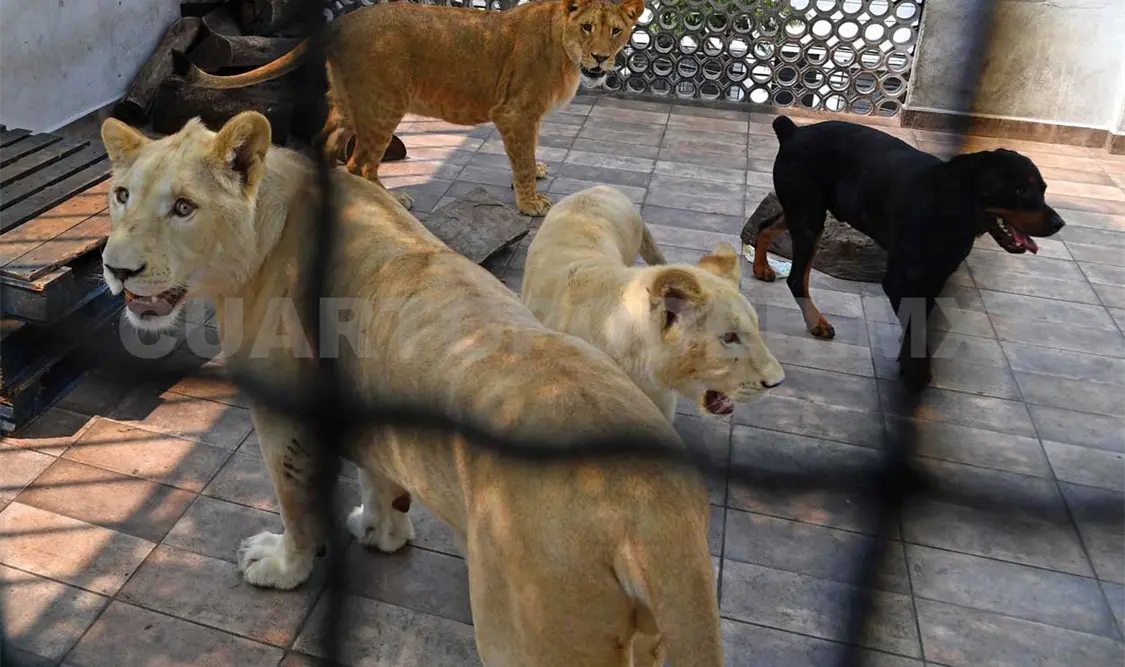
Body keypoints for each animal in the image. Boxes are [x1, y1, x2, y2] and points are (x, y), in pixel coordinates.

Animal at [98, 112, 723, 667]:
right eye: (122, 195)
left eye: (183, 207)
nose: (116, 269)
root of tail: (649, 502)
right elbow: (380, 476)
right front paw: (383, 531)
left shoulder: (286, 420)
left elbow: (296, 504)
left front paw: (282, 567)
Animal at [176, 0, 644, 217]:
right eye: (587, 28)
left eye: (616, 31)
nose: (601, 58)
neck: (564, 48)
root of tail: (342, 20)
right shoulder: (514, 112)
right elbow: (522, 156)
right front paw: (530, 202)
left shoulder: (526, 117)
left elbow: (526, 154)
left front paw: (532, 177)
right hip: (385, 104)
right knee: (362, 163)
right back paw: (391, 200)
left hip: (350, 103)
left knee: (325, 141)